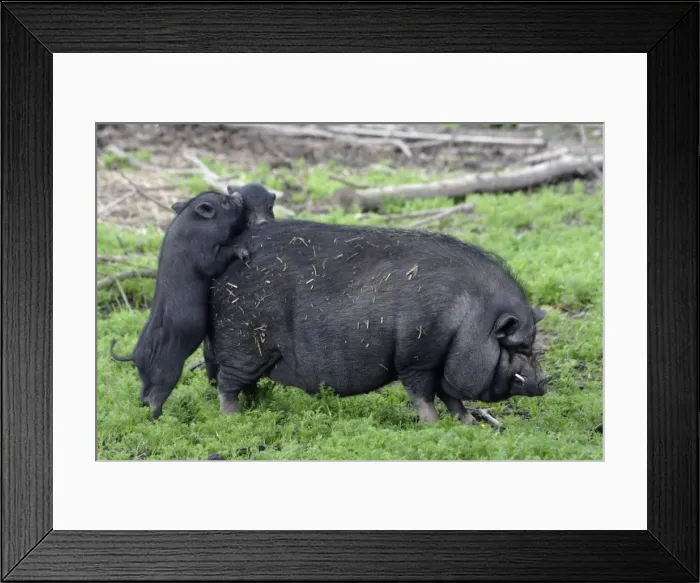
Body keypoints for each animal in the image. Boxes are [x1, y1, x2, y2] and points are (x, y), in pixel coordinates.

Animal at [109, 190, 251, 419]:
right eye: (224, 202)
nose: (238, 194)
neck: (196, 226)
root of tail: (135, 355)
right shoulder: (205, 255)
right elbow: (216, 261)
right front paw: (243, 252)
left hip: (147, 375)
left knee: (143, 393)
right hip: (167, 370)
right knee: (155, 396)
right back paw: (161, 419)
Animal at [202, 219, 550, 424]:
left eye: (531, 345)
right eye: (514, 346)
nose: (545, 381)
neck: (466, 320)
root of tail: (216, 279)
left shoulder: (441, 362)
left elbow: (452, 397)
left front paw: (469, 425)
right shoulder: (417, 357)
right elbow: (423, 395)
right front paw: (433, 426)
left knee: (245, 384)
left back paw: (258, 408)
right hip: (244, 343)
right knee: (227, 384)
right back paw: (233, 419)